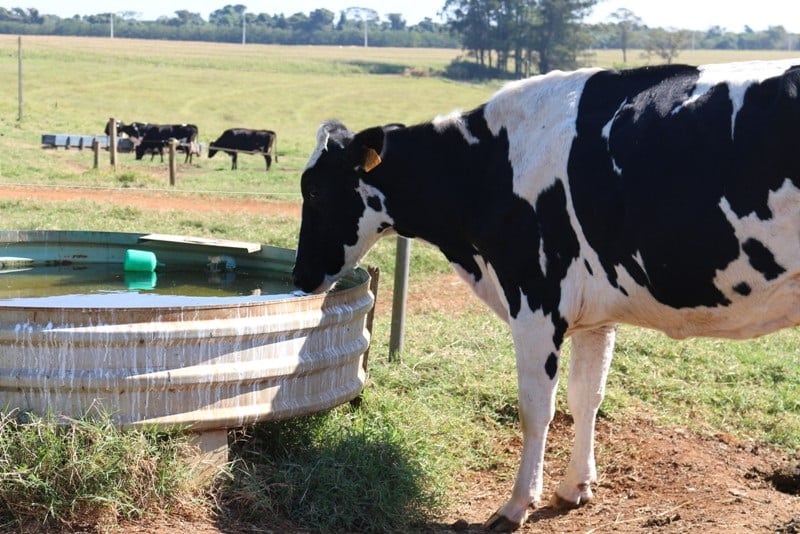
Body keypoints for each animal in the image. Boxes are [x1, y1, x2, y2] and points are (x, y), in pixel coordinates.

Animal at [292, 58, 800, 532]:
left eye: (313, 190)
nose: (299, 275)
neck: (487, 167)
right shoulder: (597, 313)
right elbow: (585, 397)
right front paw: (575, 487)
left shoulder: (534, 299)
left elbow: (536, 408)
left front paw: (517, 504)